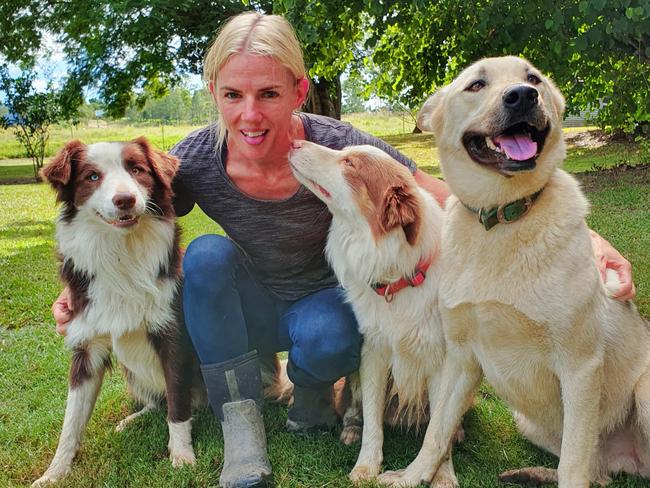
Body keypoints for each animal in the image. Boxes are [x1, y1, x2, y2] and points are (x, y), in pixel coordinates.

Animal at [30, 138, 201, 488]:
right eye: (92, 177)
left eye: (137, 169)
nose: (125, 200)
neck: (122, 252)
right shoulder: (86, 346)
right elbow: (71, 422)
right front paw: (54, 472)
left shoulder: (172, 336)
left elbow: (178, 403)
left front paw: (181, 456)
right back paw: (132, 420)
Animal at [286, 139, 458, 486]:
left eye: (350, 163)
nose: (294, 141)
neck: (398, 274)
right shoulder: (374, 352)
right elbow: (373, 417)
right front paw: (366, 467)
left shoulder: (444, 361)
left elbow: (438, 431)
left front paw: (442, 474)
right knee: (356, 407)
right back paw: (351, 430)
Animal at [410, 55, 648, 486]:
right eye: (476, 85)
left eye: (533, 78)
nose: (522, 96)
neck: (502, 218)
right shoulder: (460, 359)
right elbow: (437, 431)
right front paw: (412, 475)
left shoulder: (580, 366)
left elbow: (573, 463)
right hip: (529, 423)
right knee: (597, 473)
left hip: (644, 392)